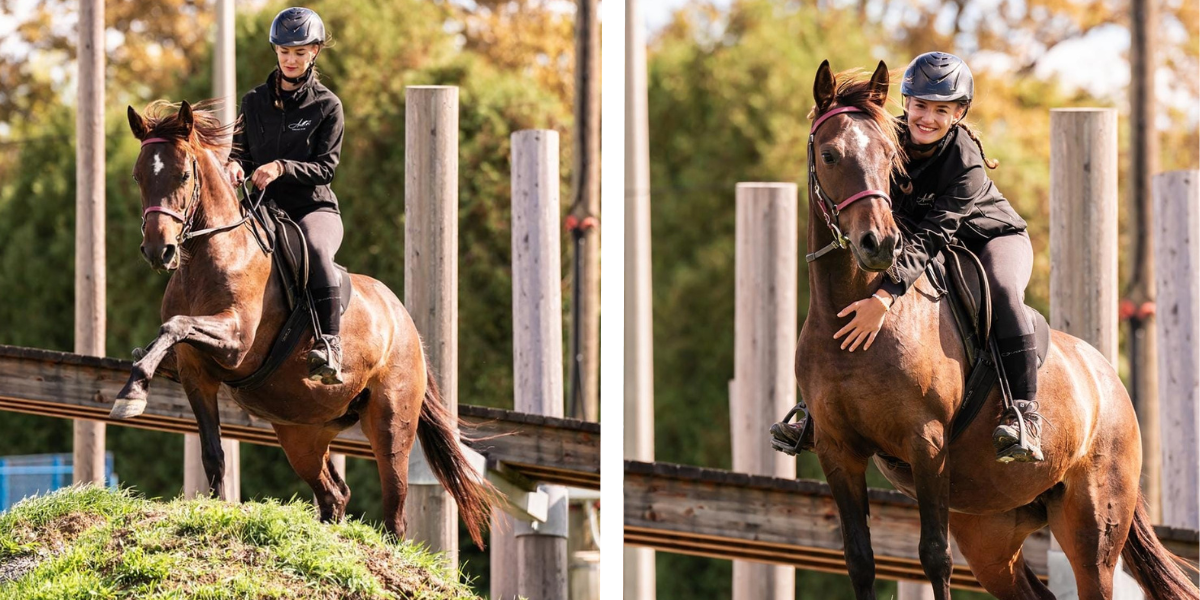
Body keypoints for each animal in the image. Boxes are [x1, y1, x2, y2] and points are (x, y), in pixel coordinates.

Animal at [108, 100, 492, 547]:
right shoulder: (195, 374)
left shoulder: (236, 341)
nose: (159, 251)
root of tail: (405, 323)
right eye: (138, 175)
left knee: (394, 509)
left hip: (391, 423)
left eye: (184, 175)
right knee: (333, 494)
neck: (212, 253)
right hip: (302, 433)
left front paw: (131, 393)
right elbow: (213, 453)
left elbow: (175, 326)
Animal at [796, 62, 1200, 600]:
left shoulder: (925, 444)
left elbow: (934, 556)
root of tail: (1110, 383)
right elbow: (860, 560)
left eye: (889, 158)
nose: (879, 244)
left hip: (1092, 529)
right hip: (990, 529)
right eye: (829, 154)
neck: (854, 321)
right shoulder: (838, 451)